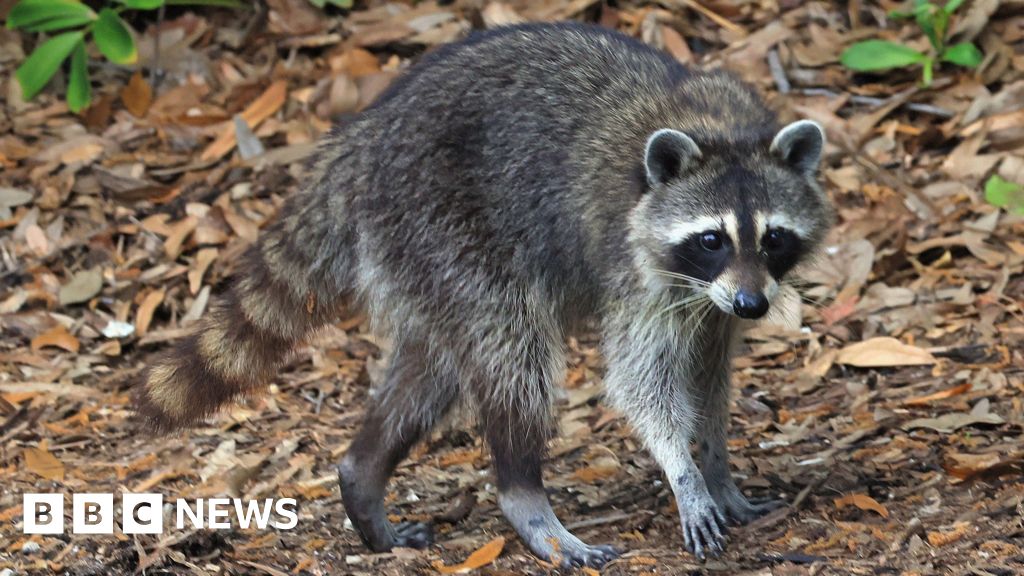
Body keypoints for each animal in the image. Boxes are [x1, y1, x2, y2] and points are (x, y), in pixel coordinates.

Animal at [137, 22, 832, 567]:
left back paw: (363, 475)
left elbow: (709, 375)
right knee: (513, 356)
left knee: (434, 368)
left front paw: (716, 464)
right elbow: (643, 381)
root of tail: (361, 142)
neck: (717, 129)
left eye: (773, 238)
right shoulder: (636, 271)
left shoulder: (713, 304)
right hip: (446, 223)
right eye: (712, 239)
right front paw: (682, 471)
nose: (754, 306)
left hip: (418, 256)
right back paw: (525, 498)